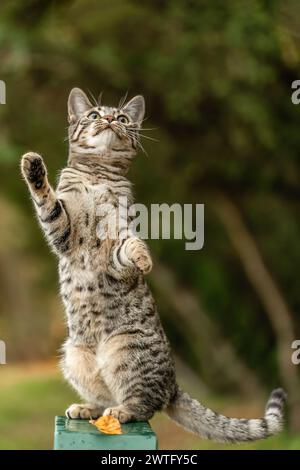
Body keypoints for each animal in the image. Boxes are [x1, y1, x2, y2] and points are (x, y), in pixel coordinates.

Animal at [20, 89, 286, 444]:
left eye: (121, 118)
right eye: (94, 115)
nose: (108, 119)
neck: (98, 177)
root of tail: (173, 385)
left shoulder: (116, 241)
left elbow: (129, 246)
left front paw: (144, 258)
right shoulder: (63, 234)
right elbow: (48, 202)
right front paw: (34, 168)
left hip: (125, 352)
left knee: (142, 405)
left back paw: (120, 412)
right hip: (75, 356)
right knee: (108, 398)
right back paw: (88, 408)